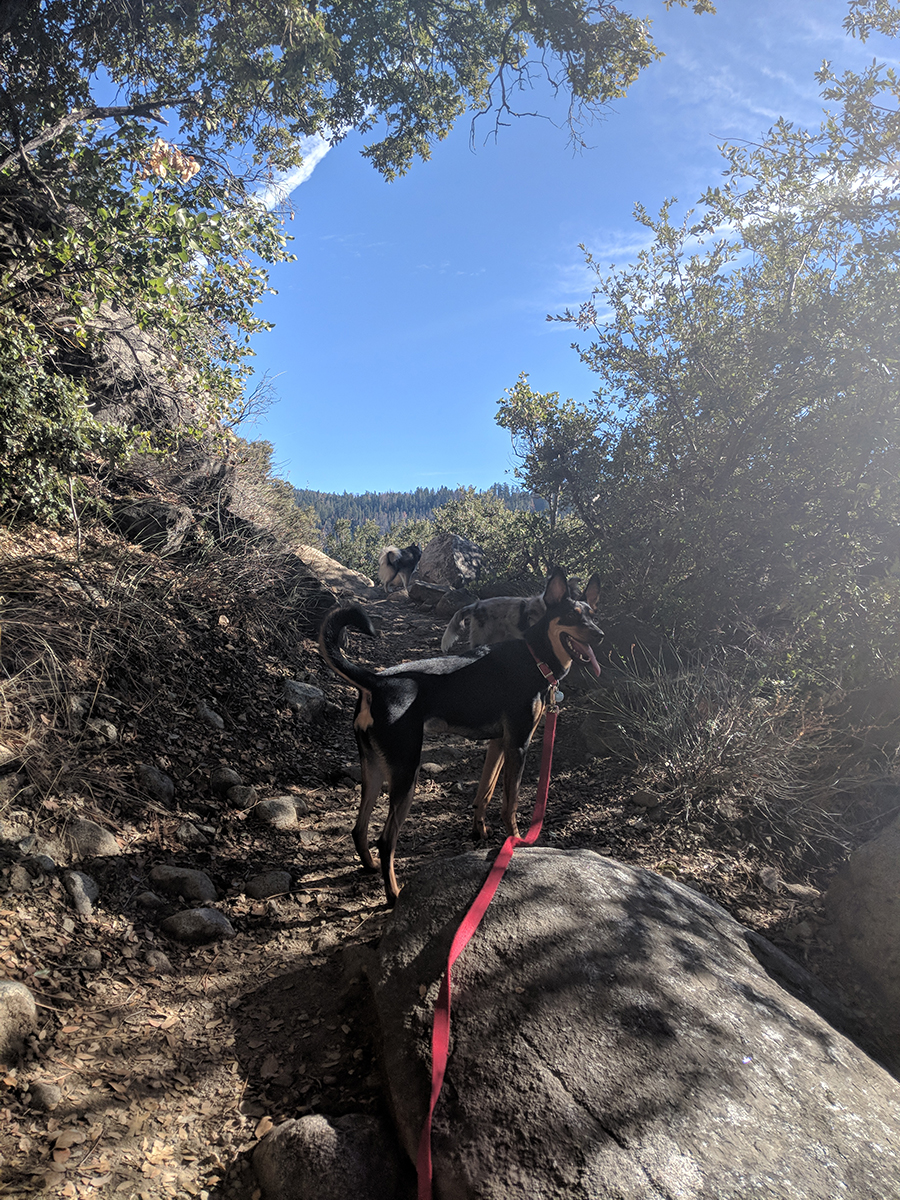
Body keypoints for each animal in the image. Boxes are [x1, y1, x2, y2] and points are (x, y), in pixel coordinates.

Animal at [321, 566, 602, 902]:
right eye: (572, 616)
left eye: (592, 614)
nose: (600, 634)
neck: (535, 656)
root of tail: (376, 681)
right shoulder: (519, 744)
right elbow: (510, 804)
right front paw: (516, 841)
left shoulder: (499, 743)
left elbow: (485, 791)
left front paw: (479, 831)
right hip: (406, 771)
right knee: (386, 840)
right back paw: (394, 895)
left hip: (373, 769)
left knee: (359, 828)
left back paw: (370, 866)